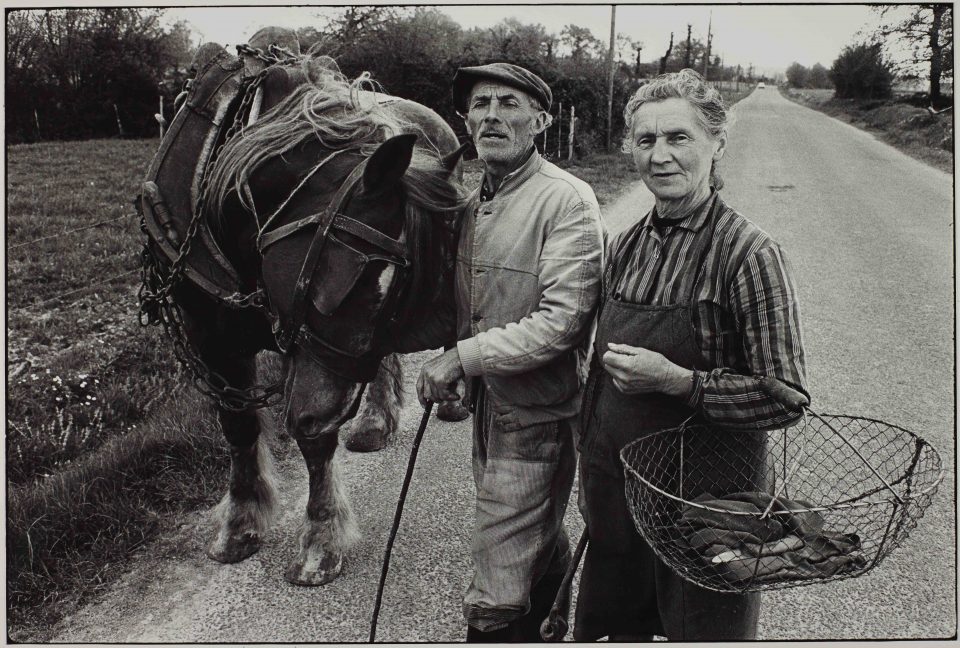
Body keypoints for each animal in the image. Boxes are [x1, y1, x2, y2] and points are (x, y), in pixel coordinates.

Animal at [141, 45, 470, 584]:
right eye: (357, 277)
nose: (328, 414)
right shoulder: (211, 339)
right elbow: (238, 428)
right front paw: (239, 524)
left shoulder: (316, 361)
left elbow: (315, 446)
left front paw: (319, 539)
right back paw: (375, 422)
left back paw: (449, 401)